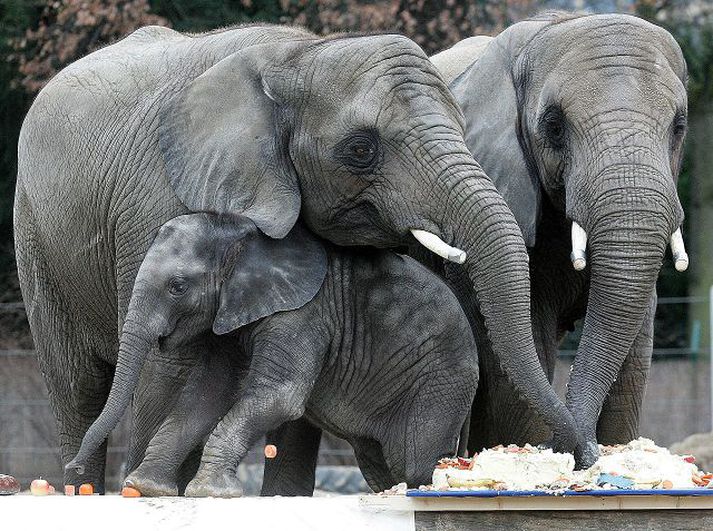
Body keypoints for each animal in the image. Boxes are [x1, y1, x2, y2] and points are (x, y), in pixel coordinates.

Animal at [67, 214, 478, 496]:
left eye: (177, 287)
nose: (74, 471)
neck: (242, 235)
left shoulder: (305, 313)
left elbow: (278, 397)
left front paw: (210, 491)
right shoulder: (228, 317)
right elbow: (205, 397)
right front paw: (146, 488)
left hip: (441, 385)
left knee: (416, 458)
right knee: (381, 462)